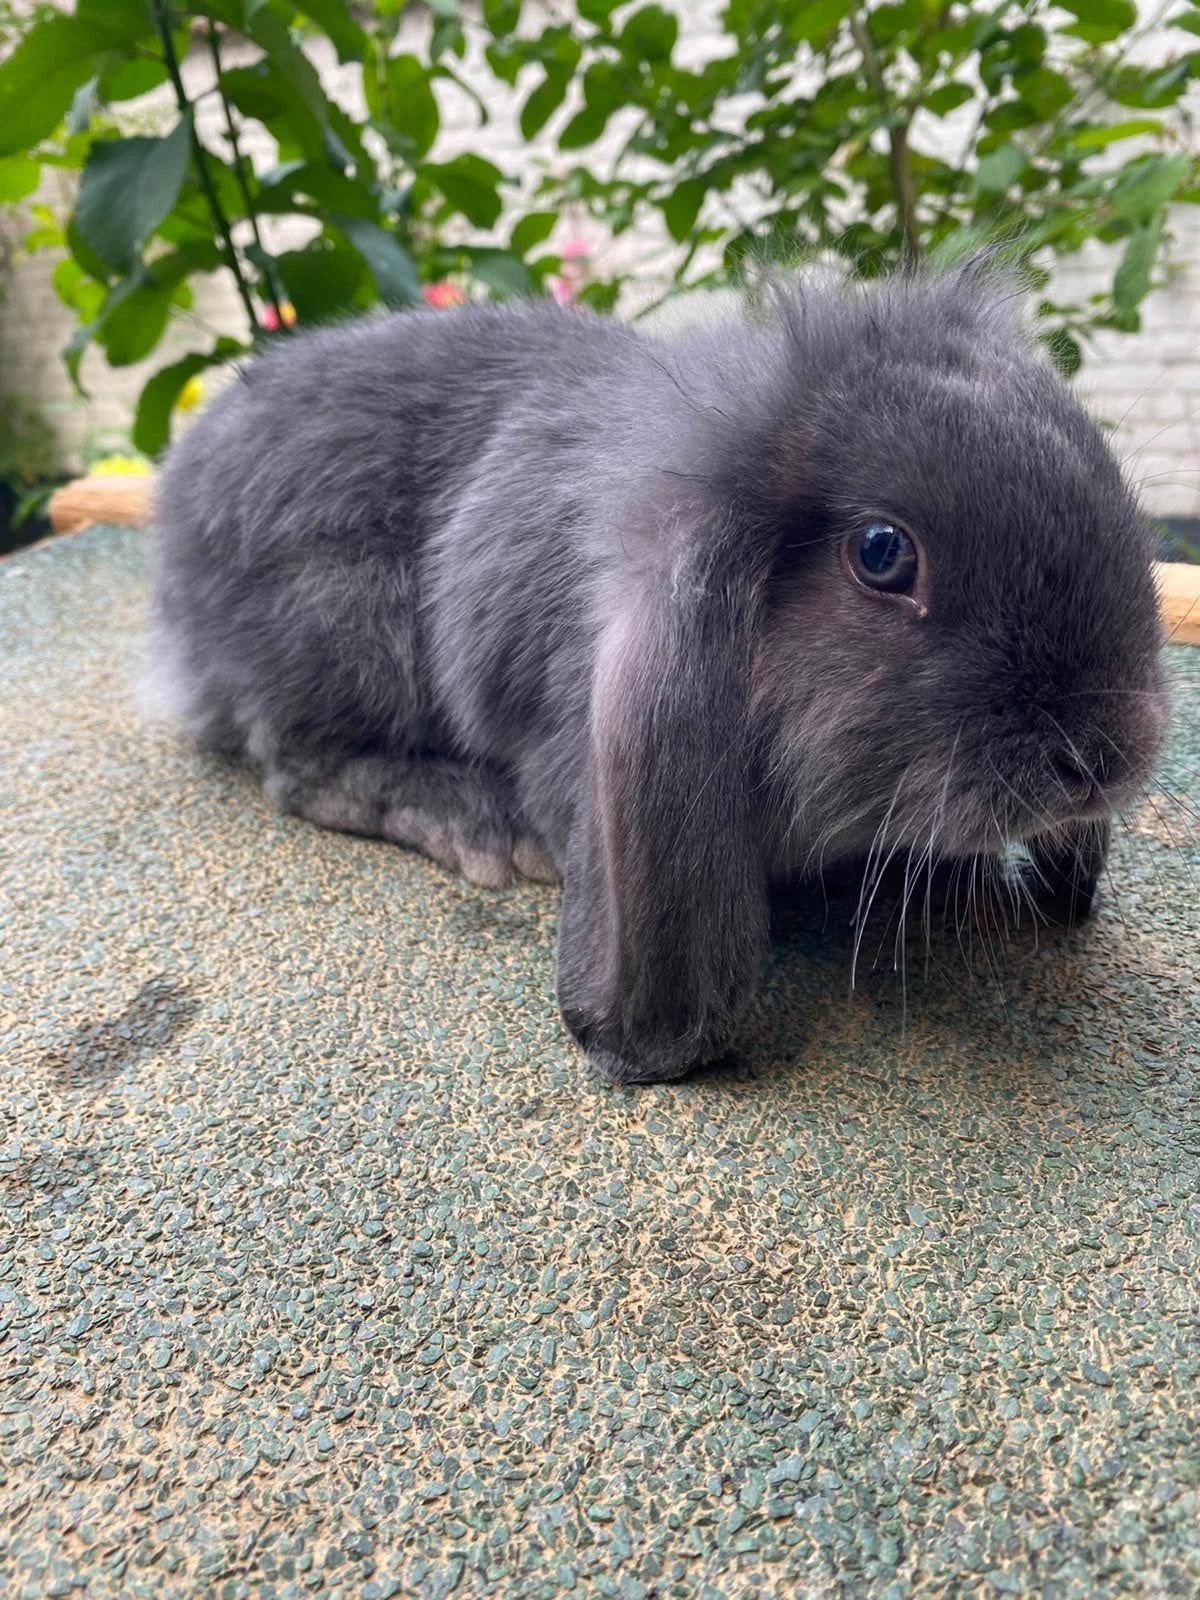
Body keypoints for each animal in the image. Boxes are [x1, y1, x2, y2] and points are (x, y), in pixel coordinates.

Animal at [147, 259, 1169, 1085]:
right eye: (883, 553)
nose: (1104, 760)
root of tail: (183, 494)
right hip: (343, 631)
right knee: (294, 764)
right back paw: (464, 816)